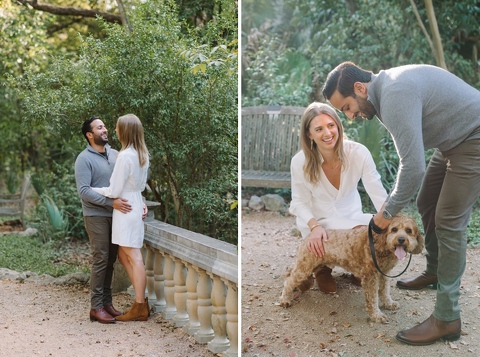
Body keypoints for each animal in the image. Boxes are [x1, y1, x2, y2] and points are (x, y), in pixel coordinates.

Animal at [282, 214, 424, 322]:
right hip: (305, 267)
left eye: (408, 231)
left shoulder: (384, 273)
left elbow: (384, 291)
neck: (380, 243)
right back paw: (285, 299)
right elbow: (373, 298)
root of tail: (308, 237)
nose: (401, 239)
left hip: (312, 265)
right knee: (289, 281)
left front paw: (389, 303)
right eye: (394, 229)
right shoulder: (370, 277)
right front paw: (376, 315)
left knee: (291, 272)